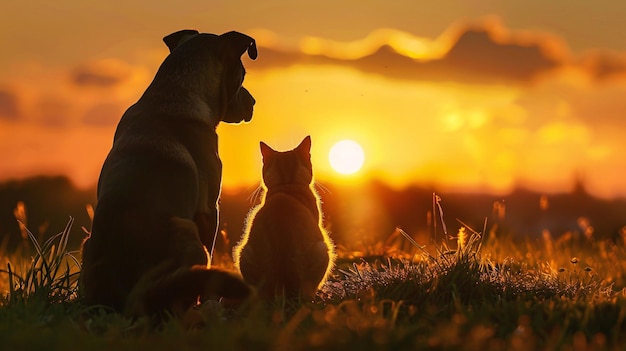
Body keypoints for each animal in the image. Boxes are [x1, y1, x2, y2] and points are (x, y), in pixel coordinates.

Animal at [80, 28, 256, 318]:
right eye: (242, 74)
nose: (253, 102)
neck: (174, 92)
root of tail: (124, 298)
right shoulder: (209, 209)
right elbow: (211, 260)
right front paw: (211, 302)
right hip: (188, 233)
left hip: (86, 243)